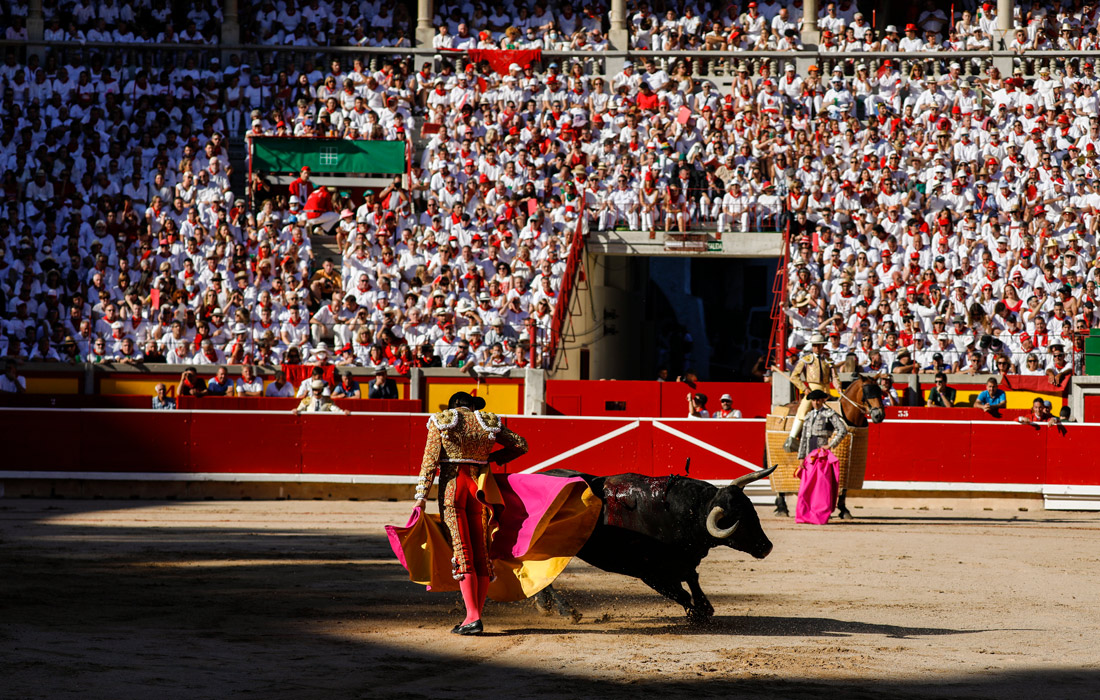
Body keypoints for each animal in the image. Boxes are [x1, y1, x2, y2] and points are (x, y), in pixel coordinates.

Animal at [536, 464, 778, 625]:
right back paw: (567, 611)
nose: (766, 547)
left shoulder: (683, 562)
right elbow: (681, 593)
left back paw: (546, 605)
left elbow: (692, 580)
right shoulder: (649, 571)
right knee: (546, 579)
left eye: (752, 511)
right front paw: (697, 614)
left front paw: (704, 608)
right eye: (738, 520)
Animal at [774, 376, 884, 519]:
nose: (879, 415)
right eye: (867, 392)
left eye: (880, 391)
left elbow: (844, 488)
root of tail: (783, 406)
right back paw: (782, 508)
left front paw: (844, 510)